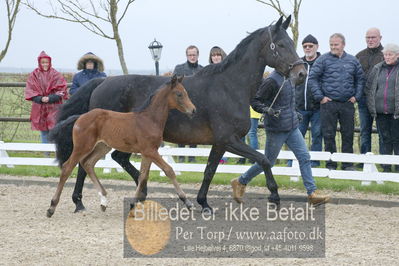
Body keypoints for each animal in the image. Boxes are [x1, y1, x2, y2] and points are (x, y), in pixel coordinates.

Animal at [47, 75, 197, 218]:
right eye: (179, 94)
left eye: (186, 92)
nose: (193, 110)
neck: (149, 120)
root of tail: (79, 117)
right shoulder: (150, 151)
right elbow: (169, 170)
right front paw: (187, 202)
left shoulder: (147, 152)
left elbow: (143, 176)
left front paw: (133, 204)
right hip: (82, 147)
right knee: (67, 167)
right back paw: (52, 207)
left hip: (102, 146)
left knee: (87, 163)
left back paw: (103, 201)